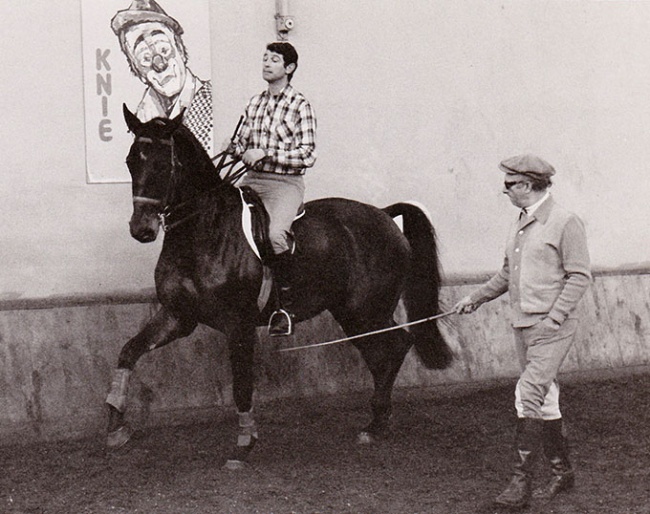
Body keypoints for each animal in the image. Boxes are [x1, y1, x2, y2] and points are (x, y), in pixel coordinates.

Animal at [106, 105, 450, 464]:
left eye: (163, 164)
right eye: (131, 161)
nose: (141, 229)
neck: (203, 231)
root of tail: (384, 215)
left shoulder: (238, 324)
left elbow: (242, 384)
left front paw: (244, 444)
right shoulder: (178, 316)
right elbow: (128, 352)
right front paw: (116, 427)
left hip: (365, 313)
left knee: (396, 347)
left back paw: (377, 422)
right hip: (354, 315)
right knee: (383, 354)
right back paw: (376, 422)